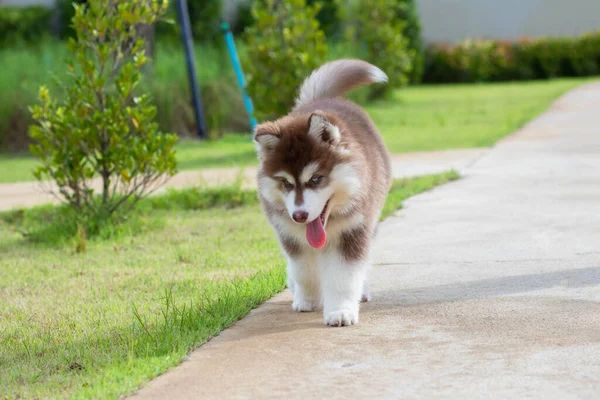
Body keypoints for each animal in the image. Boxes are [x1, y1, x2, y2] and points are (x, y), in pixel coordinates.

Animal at [254, 60, 392, 328]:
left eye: (316, 179)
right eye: (285, 183)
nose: (299, 215)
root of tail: (323, 99)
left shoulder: (353, 231)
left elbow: (344, 277)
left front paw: (341, 311)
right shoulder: (290, 236)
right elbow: (304, 271)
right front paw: (307, 299)